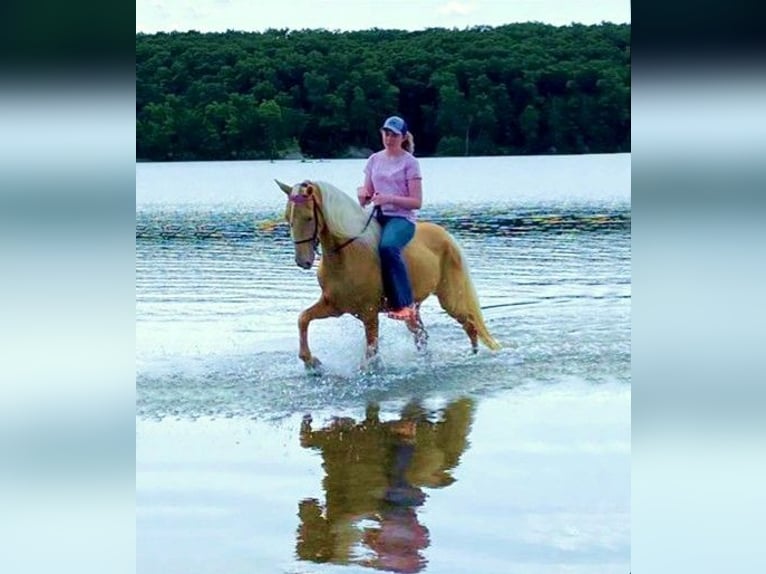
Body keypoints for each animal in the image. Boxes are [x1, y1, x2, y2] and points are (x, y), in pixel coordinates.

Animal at [276, 178, 504, 372]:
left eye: (308, 218)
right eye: (288, 218)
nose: (302, 261)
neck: (346, 257)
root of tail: (446, 235)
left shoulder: (369, 313)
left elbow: (371, 353)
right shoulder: (334, 306)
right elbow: (303, 319)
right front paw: (311, 362)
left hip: (450, 300)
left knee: (470, 325)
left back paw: (473, 357)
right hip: (413, 309)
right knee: (423, 335)